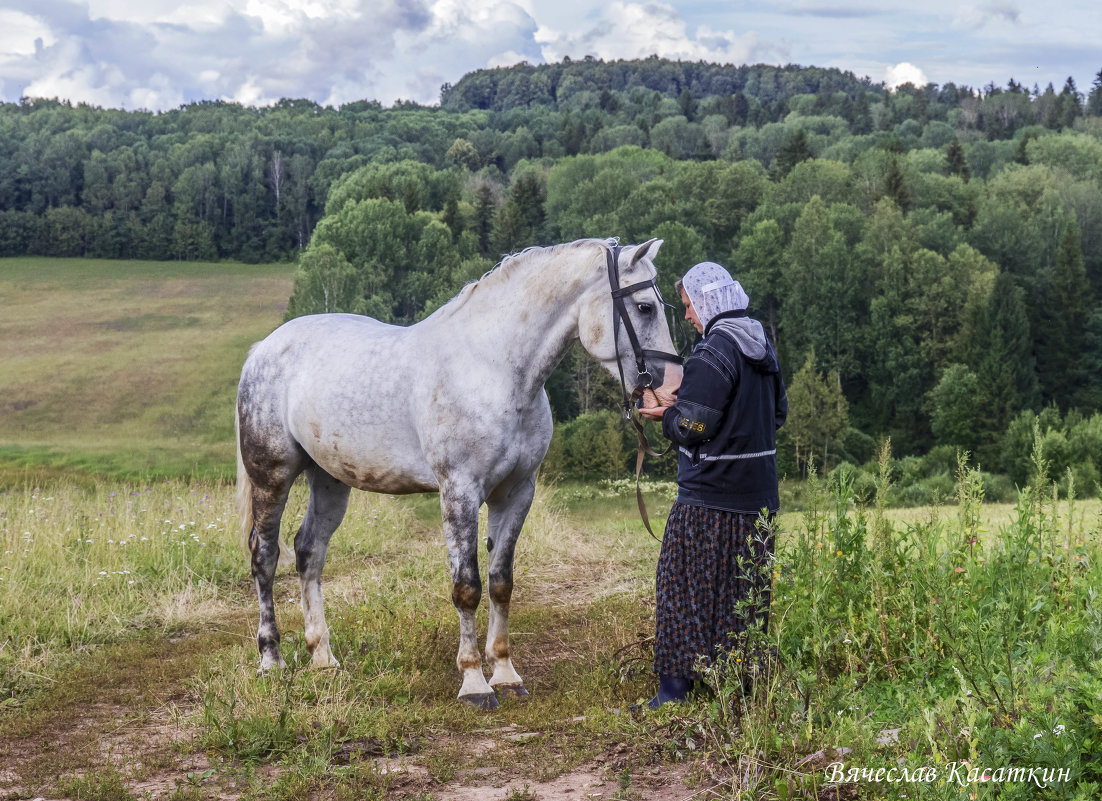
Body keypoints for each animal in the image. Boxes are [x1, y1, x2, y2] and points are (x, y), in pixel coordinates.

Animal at [236, 236, 678, 709]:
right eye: (645, 307)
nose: (670, 386)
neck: (492, 369)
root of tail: (262, 349)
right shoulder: (459, 492)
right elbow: (467, 587)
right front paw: (474, 683)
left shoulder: (516, 493)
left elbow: (501, 583)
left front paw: (505, 673)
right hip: (272, 475)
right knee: (265, 556)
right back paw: (271, 660)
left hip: (330, 479)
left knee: (309, 552)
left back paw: (323, 658)